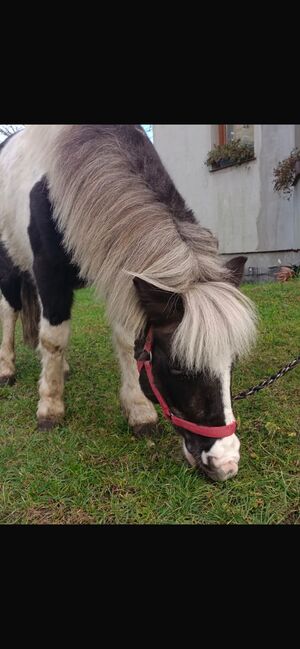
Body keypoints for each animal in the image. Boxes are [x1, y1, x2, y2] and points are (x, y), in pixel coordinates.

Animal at [0, 126, 258, 480]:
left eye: (232, 362)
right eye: (177, 366)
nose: (225, 463)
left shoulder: (118, 273)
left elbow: (126, 340)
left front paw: (139, 411)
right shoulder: (50, 275)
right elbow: (53, 339)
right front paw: (49, 408)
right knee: (9, 311)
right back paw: (7, 368)